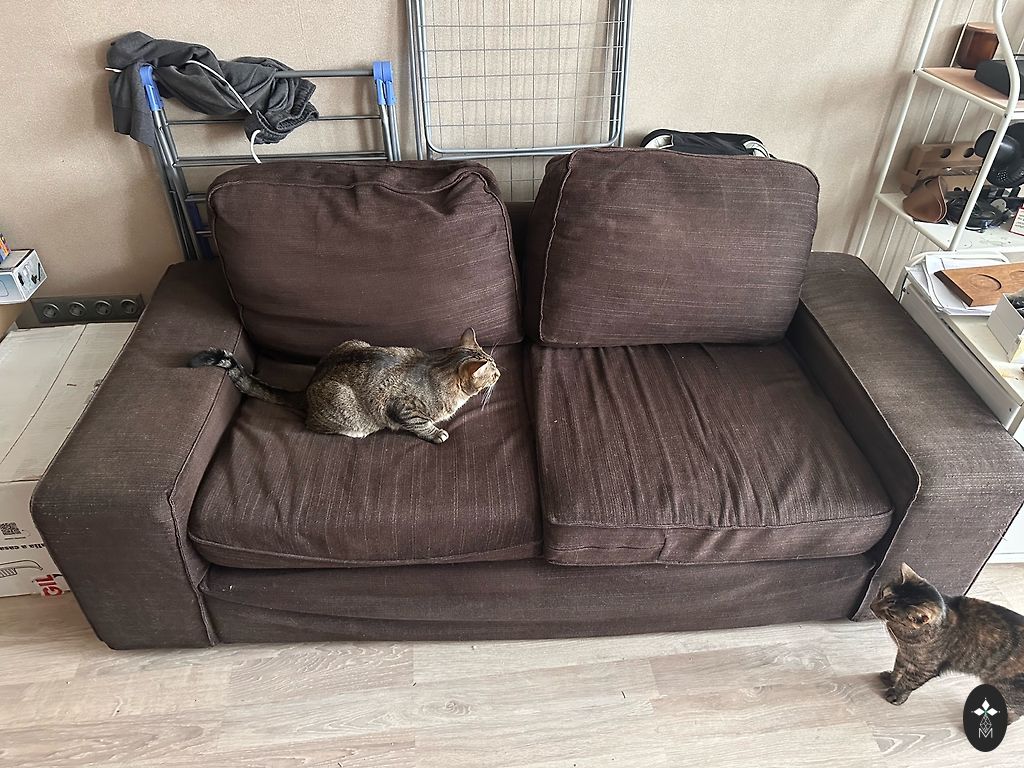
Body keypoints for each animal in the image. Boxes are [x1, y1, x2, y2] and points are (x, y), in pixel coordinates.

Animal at [189, 327, 500, 444]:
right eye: (494, 372)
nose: (501, 372)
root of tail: (308, 387)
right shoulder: (403, 407)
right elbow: (421, 424)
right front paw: (436, 433)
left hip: (352, 342)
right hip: (342, 405)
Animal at [871, 563, 1024, 720]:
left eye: (891, 613)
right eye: (882, 594)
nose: (871, 607)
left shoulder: (924, 668)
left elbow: (907, 682)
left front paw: (897, 695)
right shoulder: (904, 653)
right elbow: (898, 668)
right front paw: (891, 679)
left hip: (1009, 690)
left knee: (1017, 712)